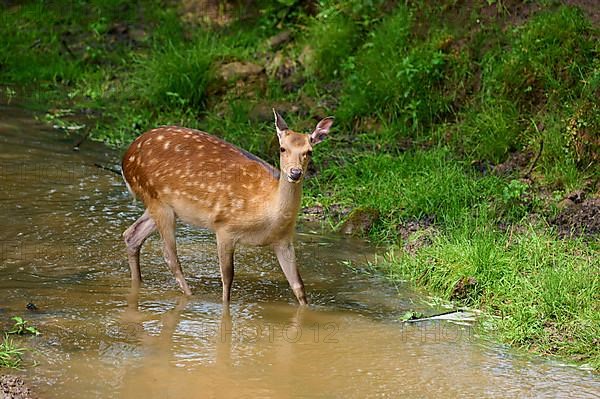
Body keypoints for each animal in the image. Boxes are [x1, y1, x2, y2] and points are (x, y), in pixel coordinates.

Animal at [120, 110, 332, 306]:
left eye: (309, 151)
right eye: (282, 148)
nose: (295, 173)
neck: (267, 212)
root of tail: (126, 159)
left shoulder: (284, 240)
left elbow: (298, 285)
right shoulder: (224, 227)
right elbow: (228, 278)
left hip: (161, 206)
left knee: (132, 235)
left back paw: (138, 284)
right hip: (158, 201)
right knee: (169, 255)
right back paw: (190, 296)